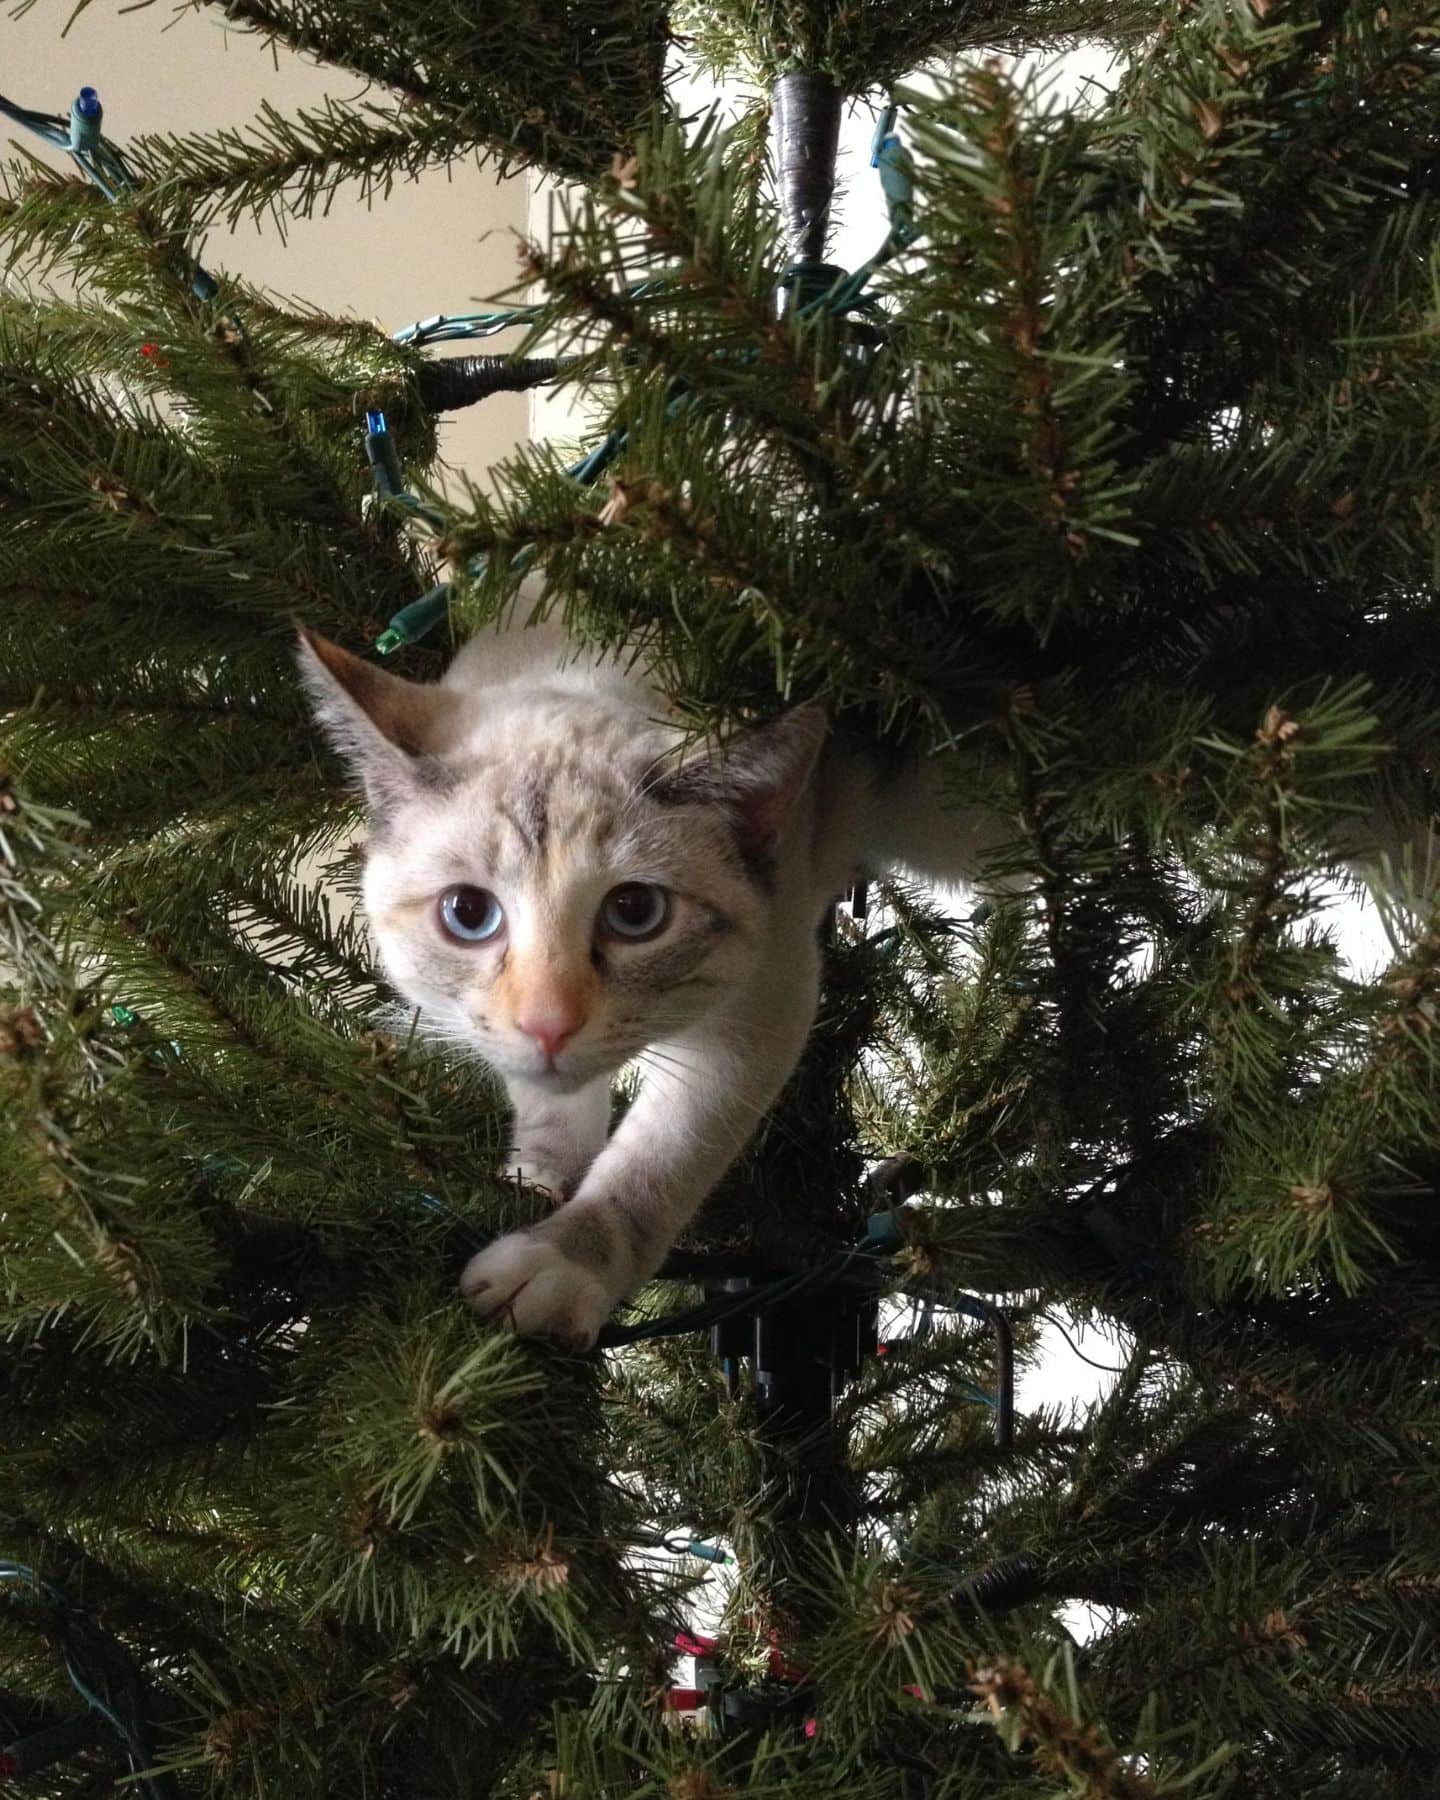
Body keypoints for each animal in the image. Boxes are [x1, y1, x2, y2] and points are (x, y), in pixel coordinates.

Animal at [298, 597, 1008, 1346]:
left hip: (949, 821)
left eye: (635, 912)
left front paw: (559, 1264)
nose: (548, 1025)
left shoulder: (761, 1001)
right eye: (468, 913)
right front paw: (534, 1180)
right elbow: (549, 1106)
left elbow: (653, 1165)